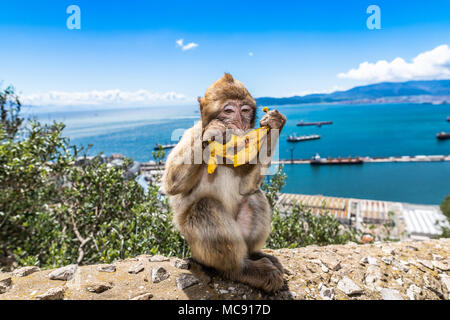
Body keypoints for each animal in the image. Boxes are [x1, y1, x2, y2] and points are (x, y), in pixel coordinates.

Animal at [162, 72, 286, 292]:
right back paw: (240, 270)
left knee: (254, 196)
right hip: (199, 251)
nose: (239, 123)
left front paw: (274, 123)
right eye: (228, 110)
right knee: (204, 207)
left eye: (244, 110)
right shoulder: (191, 134)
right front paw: (212, 131)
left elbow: (247, 187)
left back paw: (254, 255)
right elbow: (172, 183)